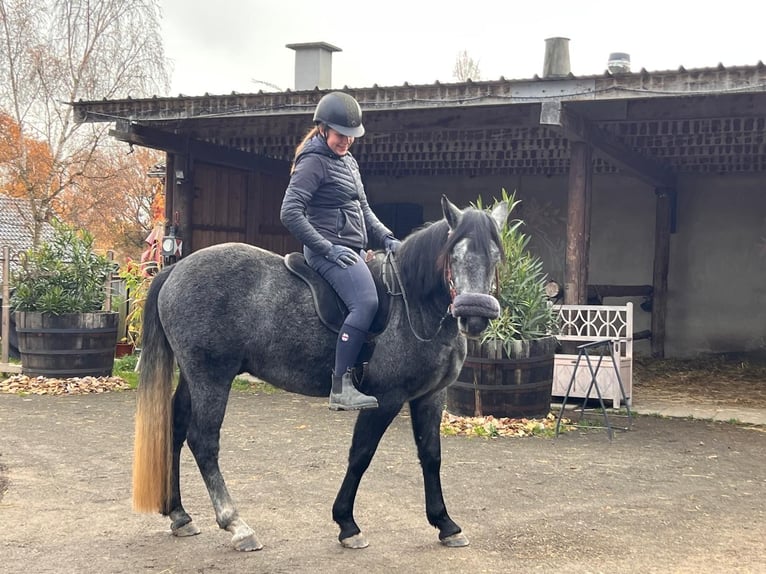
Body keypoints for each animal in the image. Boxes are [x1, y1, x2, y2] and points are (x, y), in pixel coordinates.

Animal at [132, 195, 508, 551]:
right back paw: (237, 525)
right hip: (212, 377)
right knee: (203, 440)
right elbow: (361, 455)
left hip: (193, 377)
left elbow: (430, 455)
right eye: (454, 255)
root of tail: (175, 270)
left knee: (176, 430)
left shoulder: (430, 396)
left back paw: (179, 515)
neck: (411, 303)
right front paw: (347, 524)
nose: (474, 316)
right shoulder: (386, 399)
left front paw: (446, 524)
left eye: (495, 256)